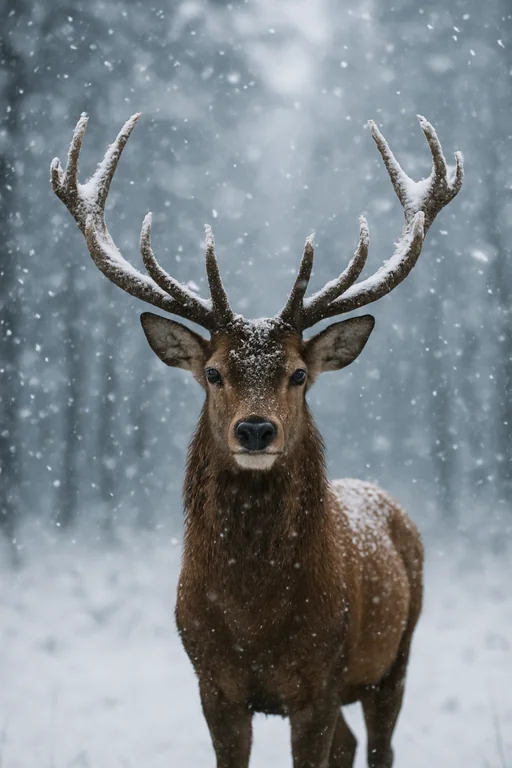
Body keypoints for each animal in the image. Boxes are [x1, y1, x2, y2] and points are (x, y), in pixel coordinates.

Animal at [51, 113, 463, 768]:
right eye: (215, 372)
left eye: (296, 374)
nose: (255, 429)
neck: (256, 622)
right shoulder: (211, 682)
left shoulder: (320, 678)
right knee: (352, 744)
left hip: (394, 655)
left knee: (380, 746)